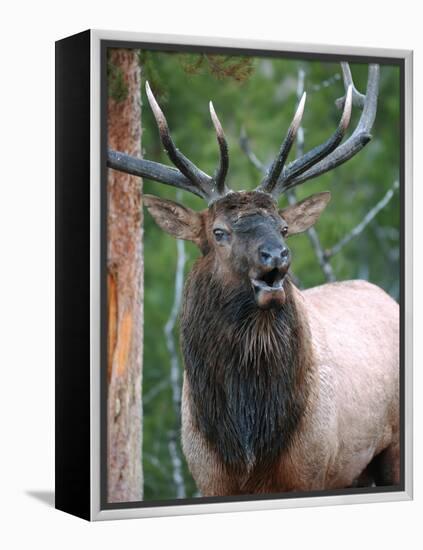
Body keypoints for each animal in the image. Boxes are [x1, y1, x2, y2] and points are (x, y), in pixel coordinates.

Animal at [107, 62, 400, 498]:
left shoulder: (312, 470)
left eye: (283, 226)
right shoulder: (208, 477)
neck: (248, 444)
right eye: (219, 232)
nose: (277, 255)